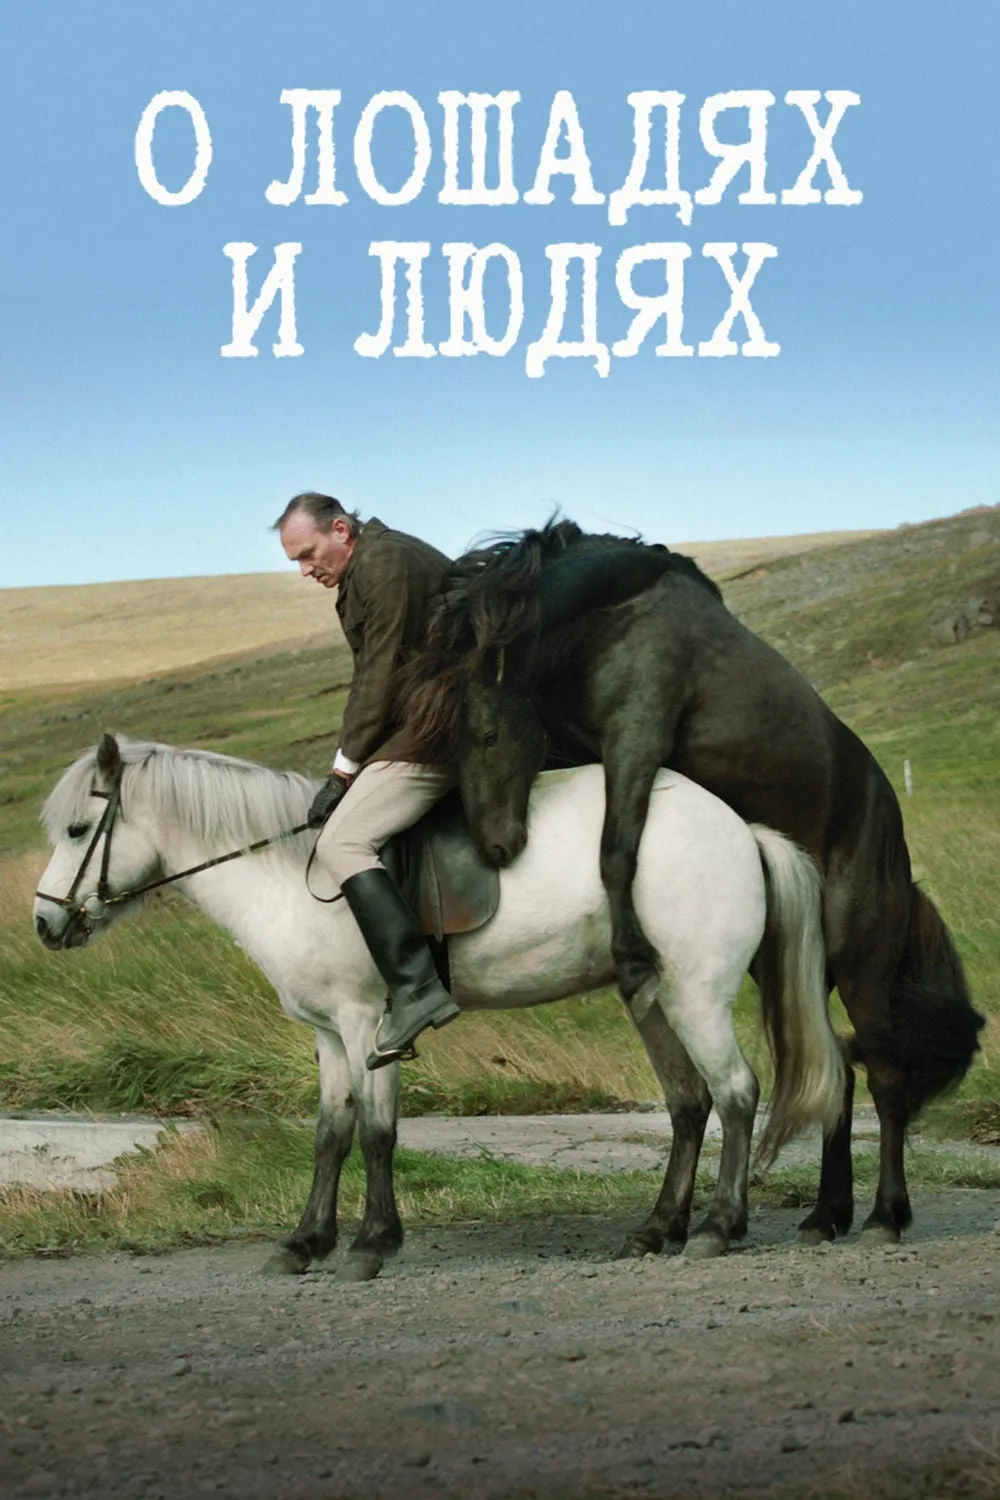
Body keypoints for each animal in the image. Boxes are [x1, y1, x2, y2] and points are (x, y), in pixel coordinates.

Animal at [34, 733, 844, 1279]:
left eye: (77, 830)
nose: (44, 924)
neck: (289, 874)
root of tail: (740, 828)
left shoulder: (370, 1025)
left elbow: (377, 1134)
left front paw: (370, 1244)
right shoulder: (329, 1037)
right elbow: (330, 1135)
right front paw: (304, 1243)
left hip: (695, 994)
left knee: (736, 1094)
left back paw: (717, 1227)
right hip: (650, 998)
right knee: (688, 1105)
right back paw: (656, 1229)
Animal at [398, 519, 983, 1246]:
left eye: (485, 734)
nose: (496, 845)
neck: (614, 613)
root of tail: (892, 840)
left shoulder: (635, 738)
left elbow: (615, 848)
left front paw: (629, 954)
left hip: (862, 968)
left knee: (886, 1078)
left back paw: (882, 1215)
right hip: (794, 966)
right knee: (837, 1079)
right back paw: (826, 1214)